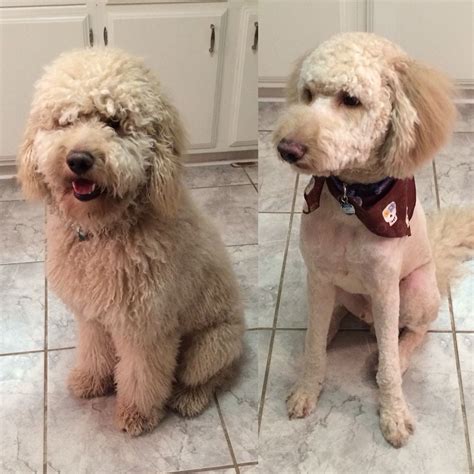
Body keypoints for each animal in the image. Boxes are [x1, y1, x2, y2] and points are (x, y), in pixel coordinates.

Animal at [16, 48, 244, 436]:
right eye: (65, 121)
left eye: (114, 121)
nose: (78, 159)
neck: (103, 232)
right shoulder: (93, 315)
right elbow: (95, 350)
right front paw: (92, 380)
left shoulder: (147, 328)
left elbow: (142, 375)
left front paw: (136, 414)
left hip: (210, 346)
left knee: (213, 377)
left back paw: (189, 398)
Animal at [274, 32, 474, 448]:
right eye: (307, 94)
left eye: (351, 99)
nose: (287, 148)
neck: (352, 203)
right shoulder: (319, 277)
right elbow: (313, 347)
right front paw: (307, 388)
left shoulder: (385, 290)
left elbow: (388, 373)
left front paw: (394, 414)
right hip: (334, 290)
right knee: (327, 321)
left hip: (414, 291)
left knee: (415, 332)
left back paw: (397, 353)